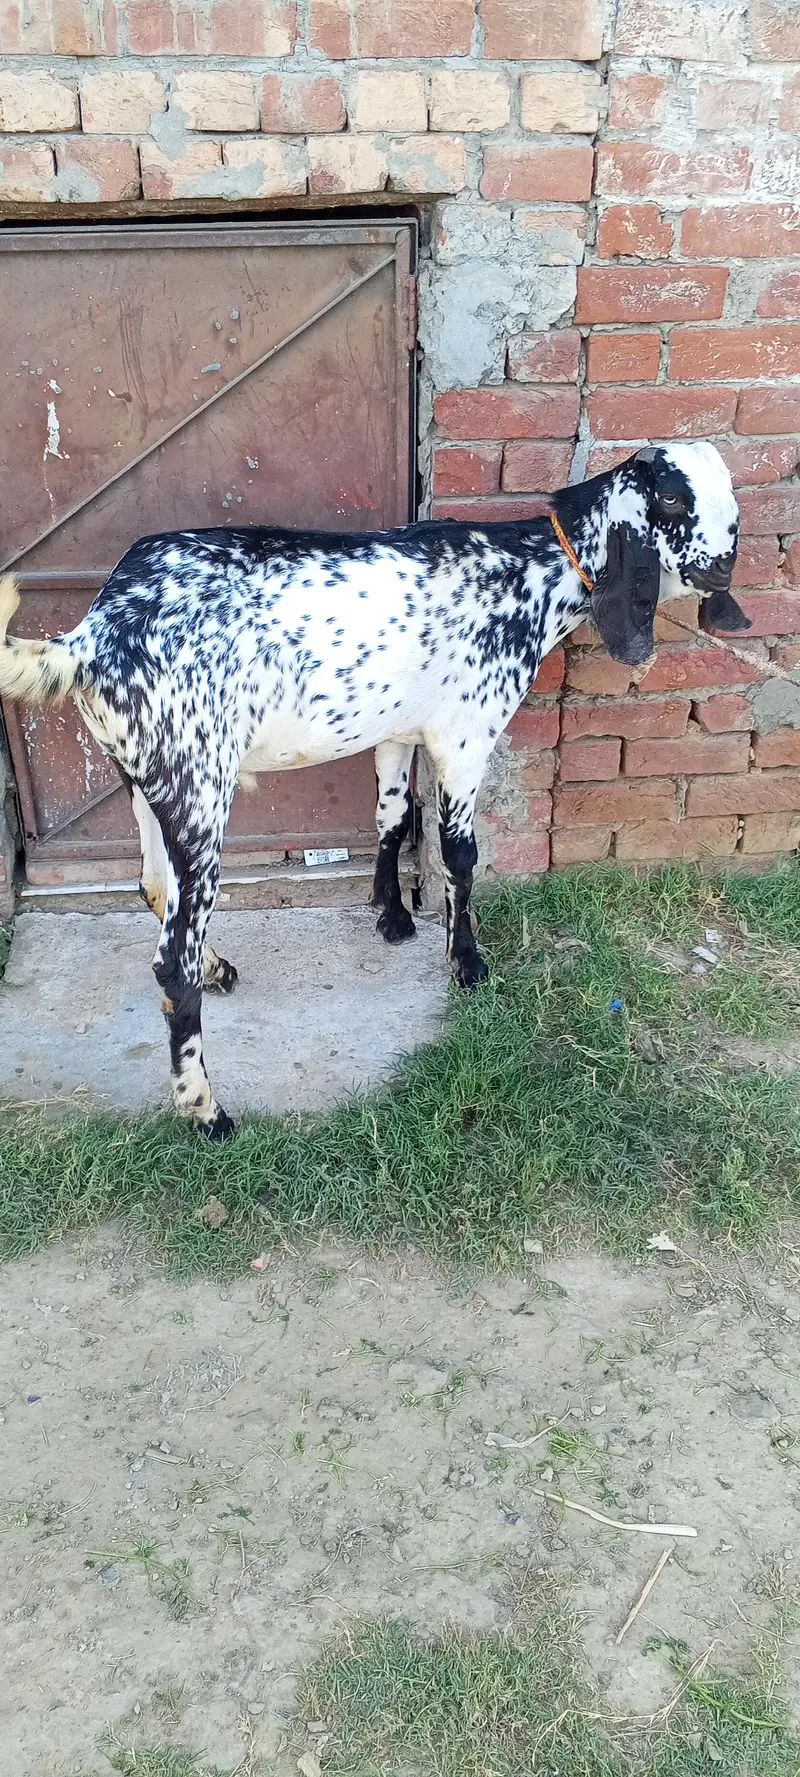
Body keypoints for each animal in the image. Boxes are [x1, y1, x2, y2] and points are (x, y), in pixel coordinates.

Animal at [0, 441, 746, 1139]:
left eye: (728, 493)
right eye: (673, 498)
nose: (725, 565)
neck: (528, 570)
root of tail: (91, 637)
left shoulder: (397, 731)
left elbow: (390, 816)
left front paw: (391, 915)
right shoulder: (464, 736)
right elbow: (459, 853)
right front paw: (467, 962)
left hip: (145, 779)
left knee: (155, 885)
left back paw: (217, 970)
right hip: (199, 785)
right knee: (170, 961)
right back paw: (207, 1110)